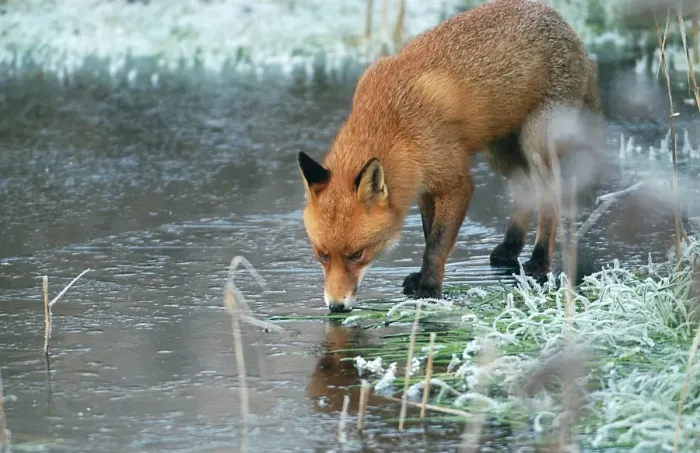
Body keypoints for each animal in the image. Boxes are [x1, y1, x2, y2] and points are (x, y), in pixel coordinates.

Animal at [297, 0, 603, 313]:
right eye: (321, 254)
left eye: (357, 253)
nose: (336, 306)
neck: (395, 123)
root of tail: (565, 24)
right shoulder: (424, 184)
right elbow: (428, 234)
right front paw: (422, 278)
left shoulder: (456, 184)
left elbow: (436, 245)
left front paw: (429, 290)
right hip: (499, 152)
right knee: (524, 189)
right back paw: (510, 248)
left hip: (536, 143)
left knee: (550, 197)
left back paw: (540, 260)